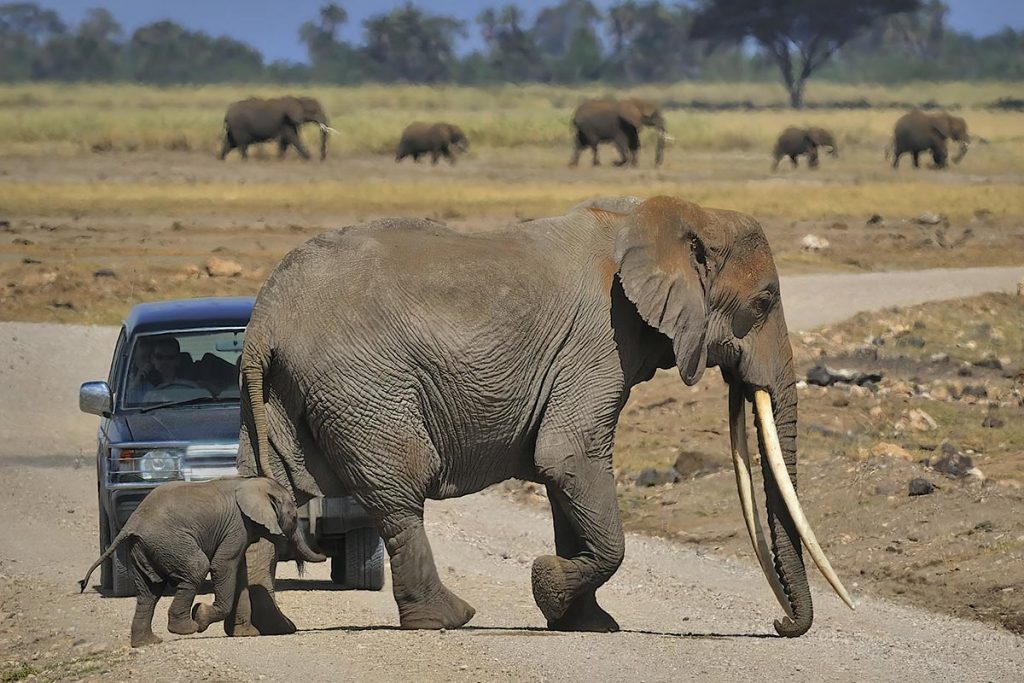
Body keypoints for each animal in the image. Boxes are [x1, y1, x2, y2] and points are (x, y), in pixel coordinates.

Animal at [79, 475, 323, 647]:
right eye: (294, 516)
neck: (252, 483)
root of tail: (132, 522)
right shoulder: (237, 525)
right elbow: (222, 565)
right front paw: (201, 616)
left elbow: (239, 574)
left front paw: (247, 634)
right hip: (169, 542)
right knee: (197, 567)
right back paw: (186, 628)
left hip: (143, 549)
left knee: (149, 590)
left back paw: (148, 642)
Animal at [235, 193, 851, 643]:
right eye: (764, 302)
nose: (780, 624)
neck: (665, 216)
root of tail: (265, 320)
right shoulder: (600, 338)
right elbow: (569, 457)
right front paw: (549, 585)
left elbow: (566, 479)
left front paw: (587, 624)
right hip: (362, 386)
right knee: (398, 496)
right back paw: (447, 619)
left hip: (272, 396)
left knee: (266, 493)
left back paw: (266, 628)